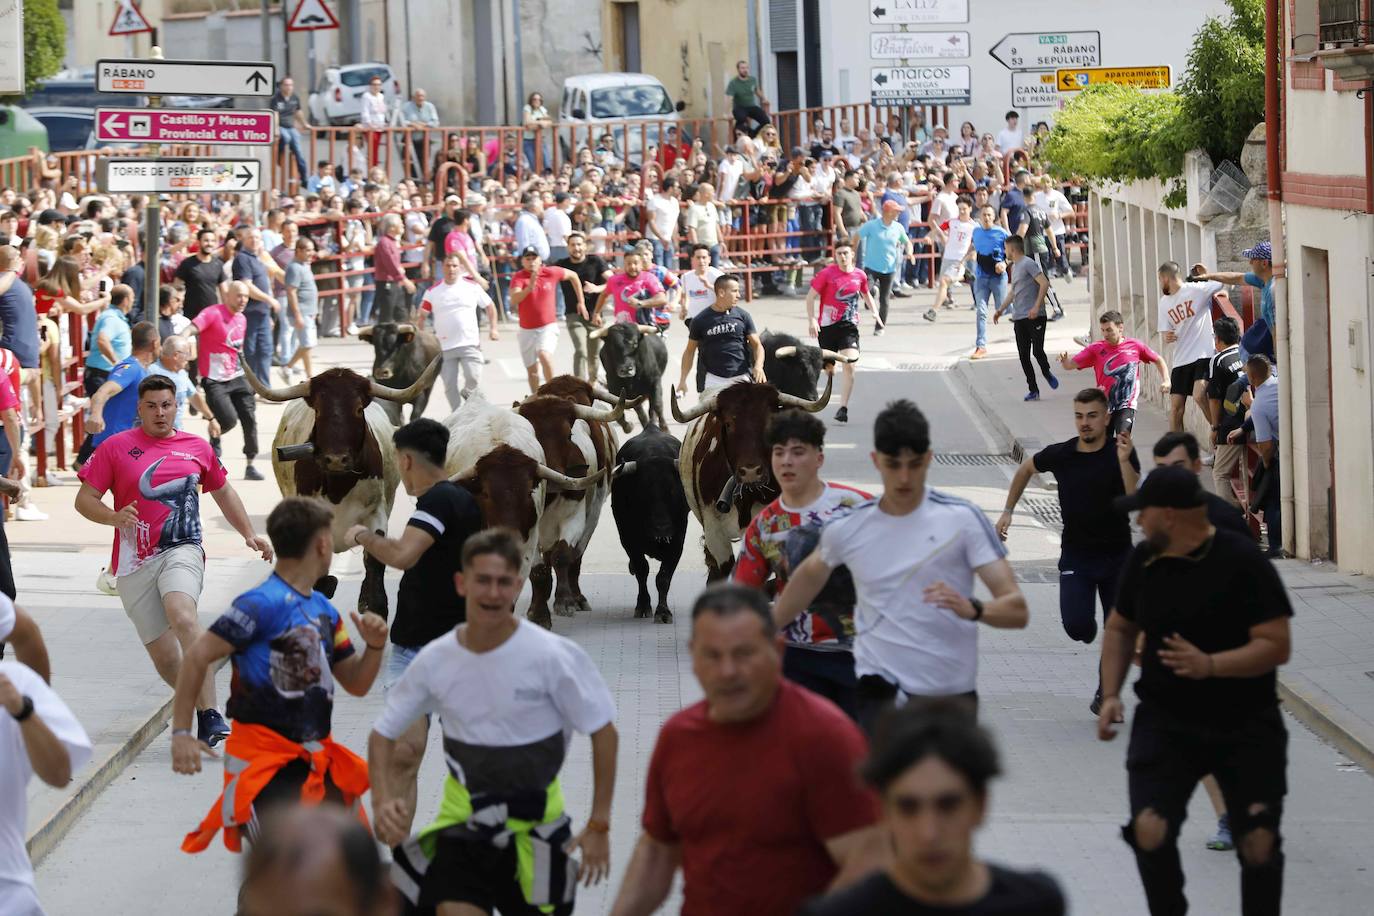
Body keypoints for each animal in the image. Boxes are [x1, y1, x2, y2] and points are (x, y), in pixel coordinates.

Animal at [244, 357, 439, 615]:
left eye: (358, 409)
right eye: (318, 410)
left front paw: (371, 604)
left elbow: (374, 565)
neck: (338, 487)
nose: (336, 459)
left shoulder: (376, 514)